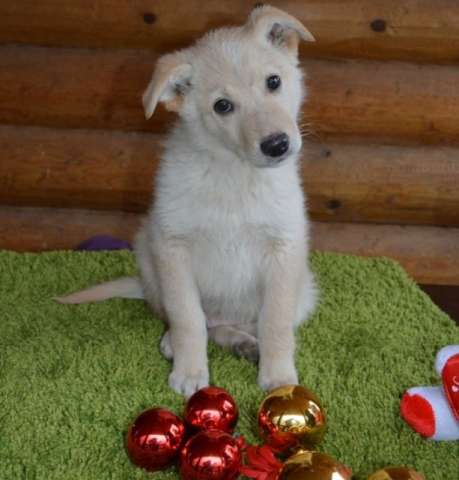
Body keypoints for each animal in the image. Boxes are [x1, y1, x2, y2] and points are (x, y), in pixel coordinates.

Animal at [58, 5, 320, 398]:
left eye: (274, 82)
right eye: (222, 106)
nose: (277, 145)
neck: (234, 173)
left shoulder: (284, 247)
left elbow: (275, 321)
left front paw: (278, 377)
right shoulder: (173, 246)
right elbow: (187, 318)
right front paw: (190, 371)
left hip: (304, 292)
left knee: (247, 323)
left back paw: (246, 343)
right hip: (147, 254)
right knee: (194, 320)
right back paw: (177, 343)